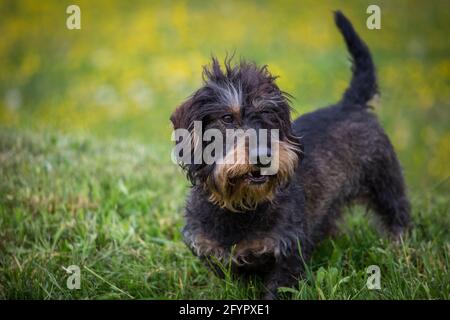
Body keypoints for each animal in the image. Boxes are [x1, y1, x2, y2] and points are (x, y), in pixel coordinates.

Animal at [170, 10, 412, 300]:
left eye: (269, 115)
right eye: (227, 118)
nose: (263, 156)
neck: (240, 207)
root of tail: (349, 104)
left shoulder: (289, 252)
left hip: (385, 184)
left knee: (398, 220)